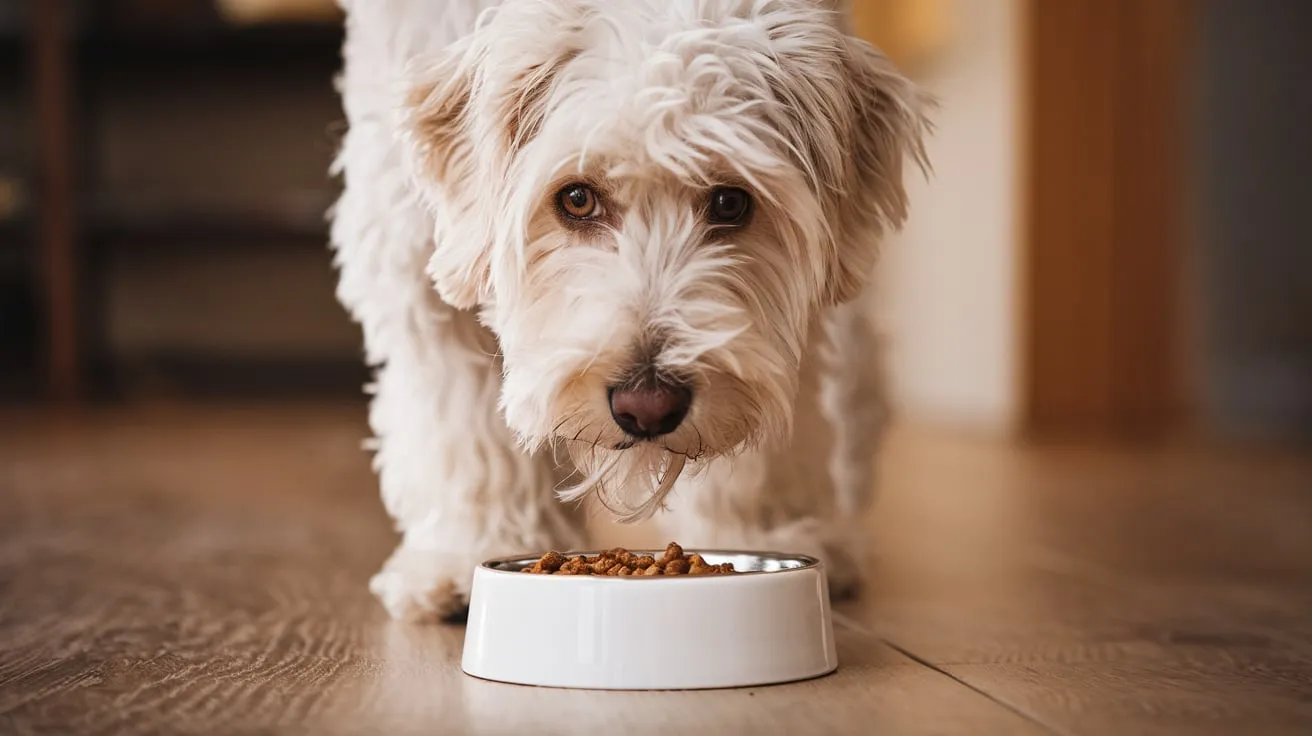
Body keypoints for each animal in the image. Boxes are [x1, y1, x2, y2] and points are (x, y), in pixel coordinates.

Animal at [333, 0, 934, 619]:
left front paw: (760, 533)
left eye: (730, 202)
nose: (648, 405)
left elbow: (770, 435)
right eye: (576, 198)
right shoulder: (407, 247)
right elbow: (463, 423)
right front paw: (471, 548)